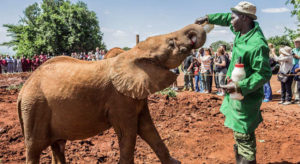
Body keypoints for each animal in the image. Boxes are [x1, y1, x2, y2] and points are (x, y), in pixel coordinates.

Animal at [17, 23, 205, 163]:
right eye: (171, 44)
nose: (194, 36)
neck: (133, 53)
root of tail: (22, 89)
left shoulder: (136, 96)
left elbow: (147, 128)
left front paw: (175, 163)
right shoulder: (120, 99)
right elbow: (128, 133)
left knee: (58, 146)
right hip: (35, 107)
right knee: (34, 149)